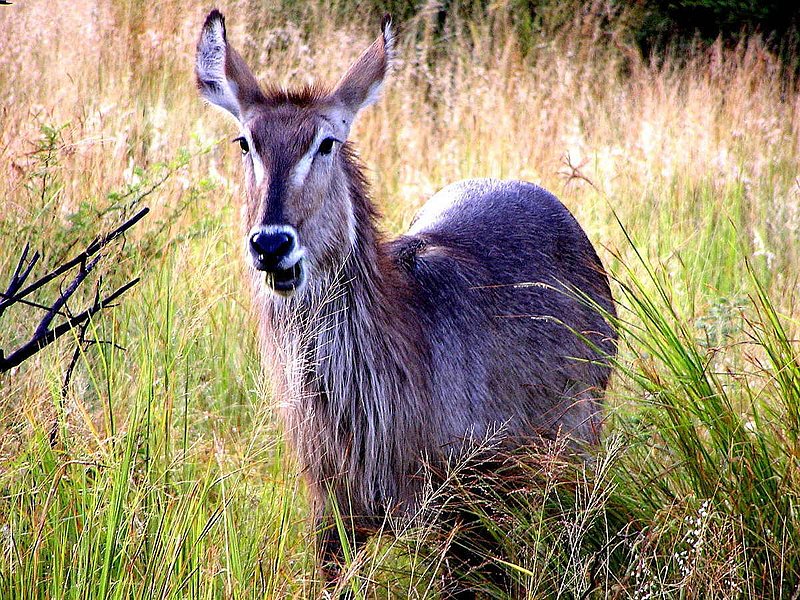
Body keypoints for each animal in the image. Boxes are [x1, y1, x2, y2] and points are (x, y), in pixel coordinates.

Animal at [196, 9, 617, 595]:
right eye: (245, 142)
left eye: (325, 143)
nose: (272, 244)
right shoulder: (332, 510)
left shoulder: (459, 513)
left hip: (576, 440)